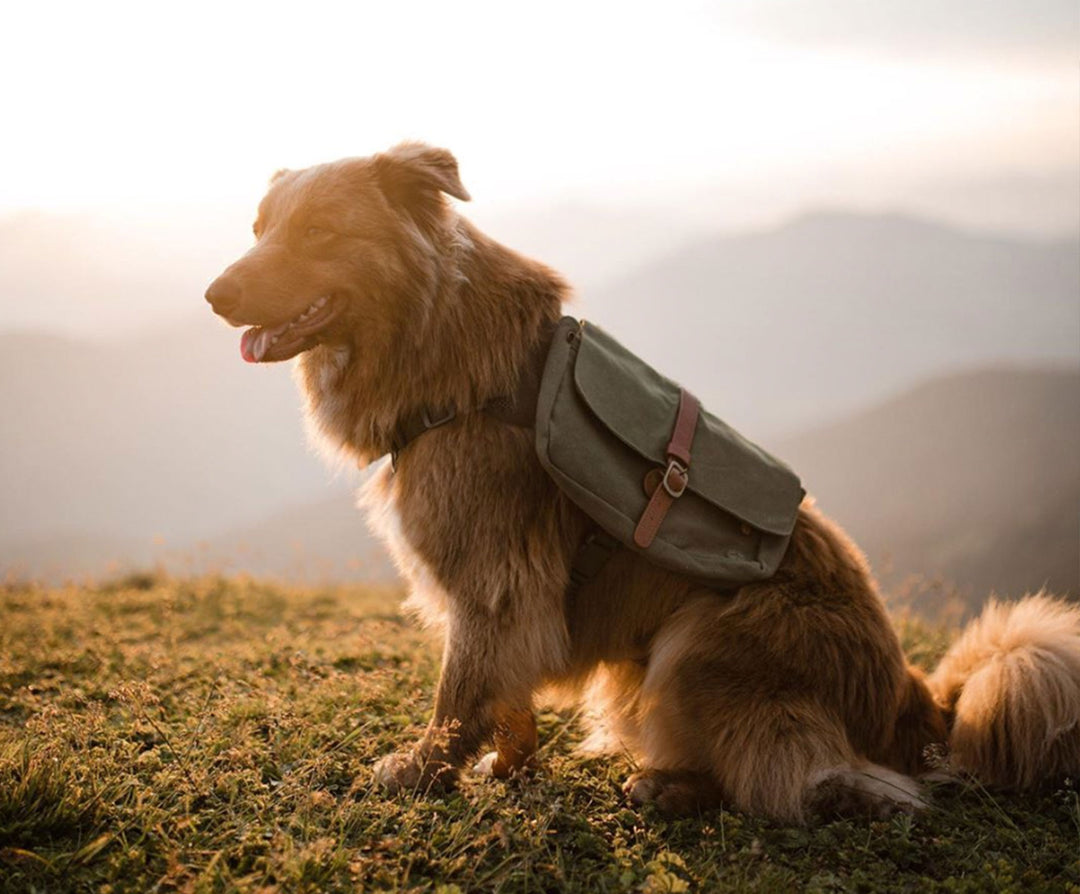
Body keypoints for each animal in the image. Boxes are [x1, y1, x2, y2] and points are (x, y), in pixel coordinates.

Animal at [206, 143, 1080, 820]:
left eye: (319, 231)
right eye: (259, 229)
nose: (214, 294)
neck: (436, 337)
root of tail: (916, 700)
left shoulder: (488, 577)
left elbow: (458, 694)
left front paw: (423, 771)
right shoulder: (513, 590)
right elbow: (507, 696)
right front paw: (510, 768)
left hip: (705, 640)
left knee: (803, 781)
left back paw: (674, 786)